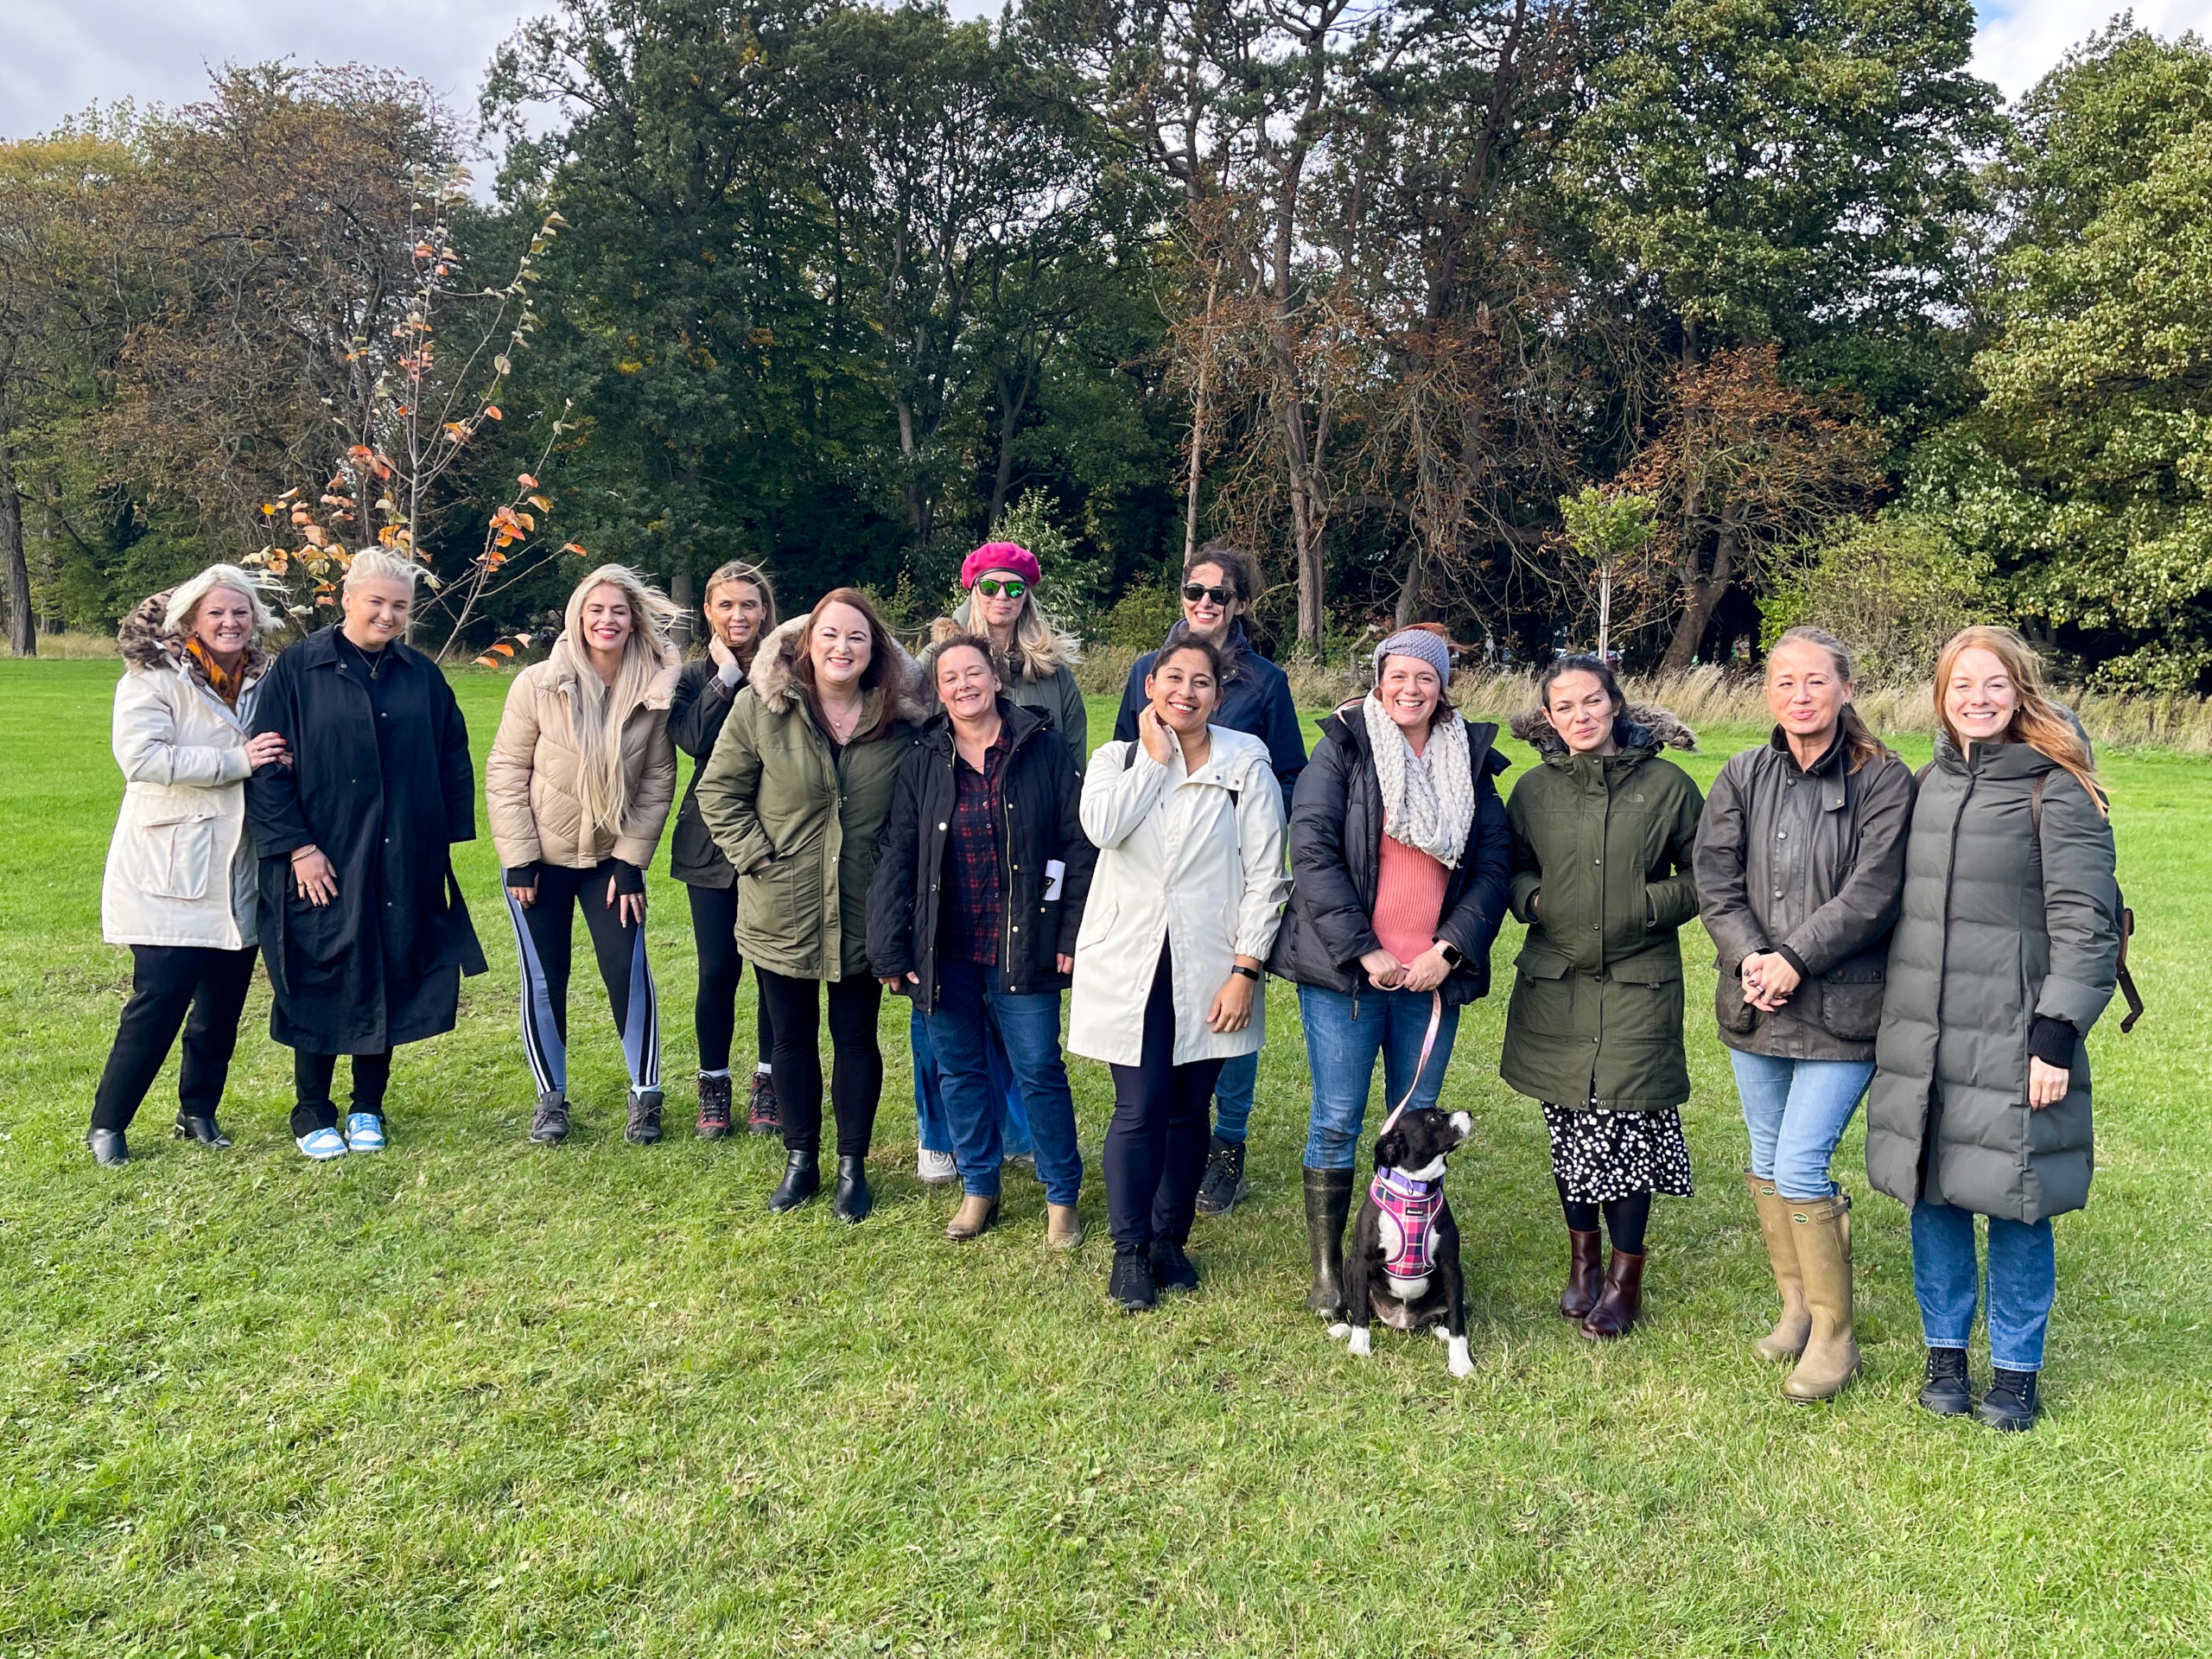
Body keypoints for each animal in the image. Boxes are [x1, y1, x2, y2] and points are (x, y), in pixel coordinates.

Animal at [1318, 1119, 1478, 1380]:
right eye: (1433, 1119)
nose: (1469, 1114)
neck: (1414, 1191)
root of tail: (1401, 1321)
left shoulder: (1451, 1267)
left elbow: (1457, 1320)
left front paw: (1460, 1361)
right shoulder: (1361, 1263)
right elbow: (1360, 1312)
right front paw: (1359, 1346)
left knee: (1449, 1312)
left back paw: (1442, 1331)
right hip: (1350, 1270)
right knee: (1358, 1309)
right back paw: (1342, 1328)